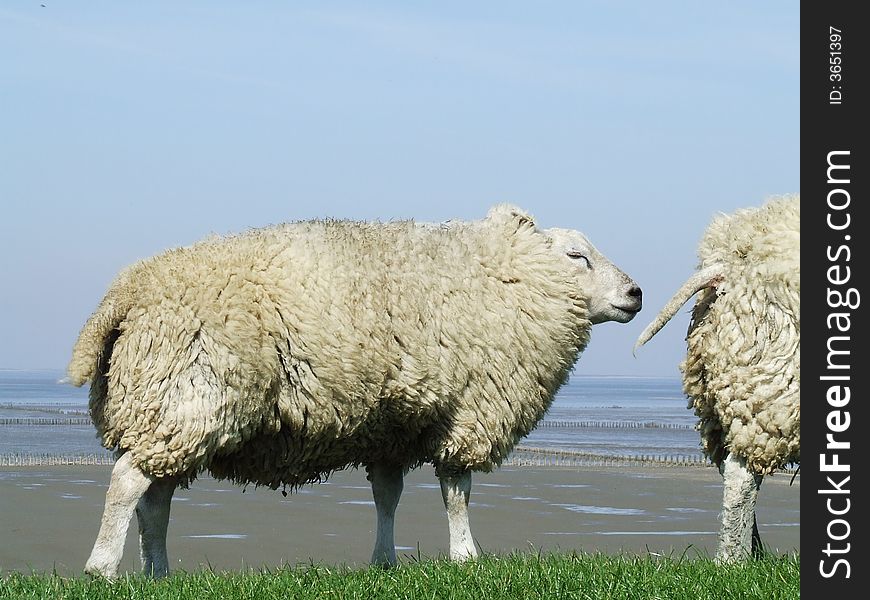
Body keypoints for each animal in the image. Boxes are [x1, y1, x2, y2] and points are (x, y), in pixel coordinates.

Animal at [68, 205, 644, 576]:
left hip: (166, 407)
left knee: (154, 497)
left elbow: (387, 497)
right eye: (577, 256)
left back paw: (158, 573)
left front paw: (383, 562)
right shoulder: (467, 409)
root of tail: (126, 292)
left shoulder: (390, 427)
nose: (636, 293)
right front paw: (466, 558)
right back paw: (101, 570)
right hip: (190, 395)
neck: (506, 278)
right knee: (127, 483)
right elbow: (457, 491)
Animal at [636, 196, 800, 564]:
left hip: (717, 387)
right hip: (773, 380)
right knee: (742, 475)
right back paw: (735, 560)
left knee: (729, 464)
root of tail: (729, 263)